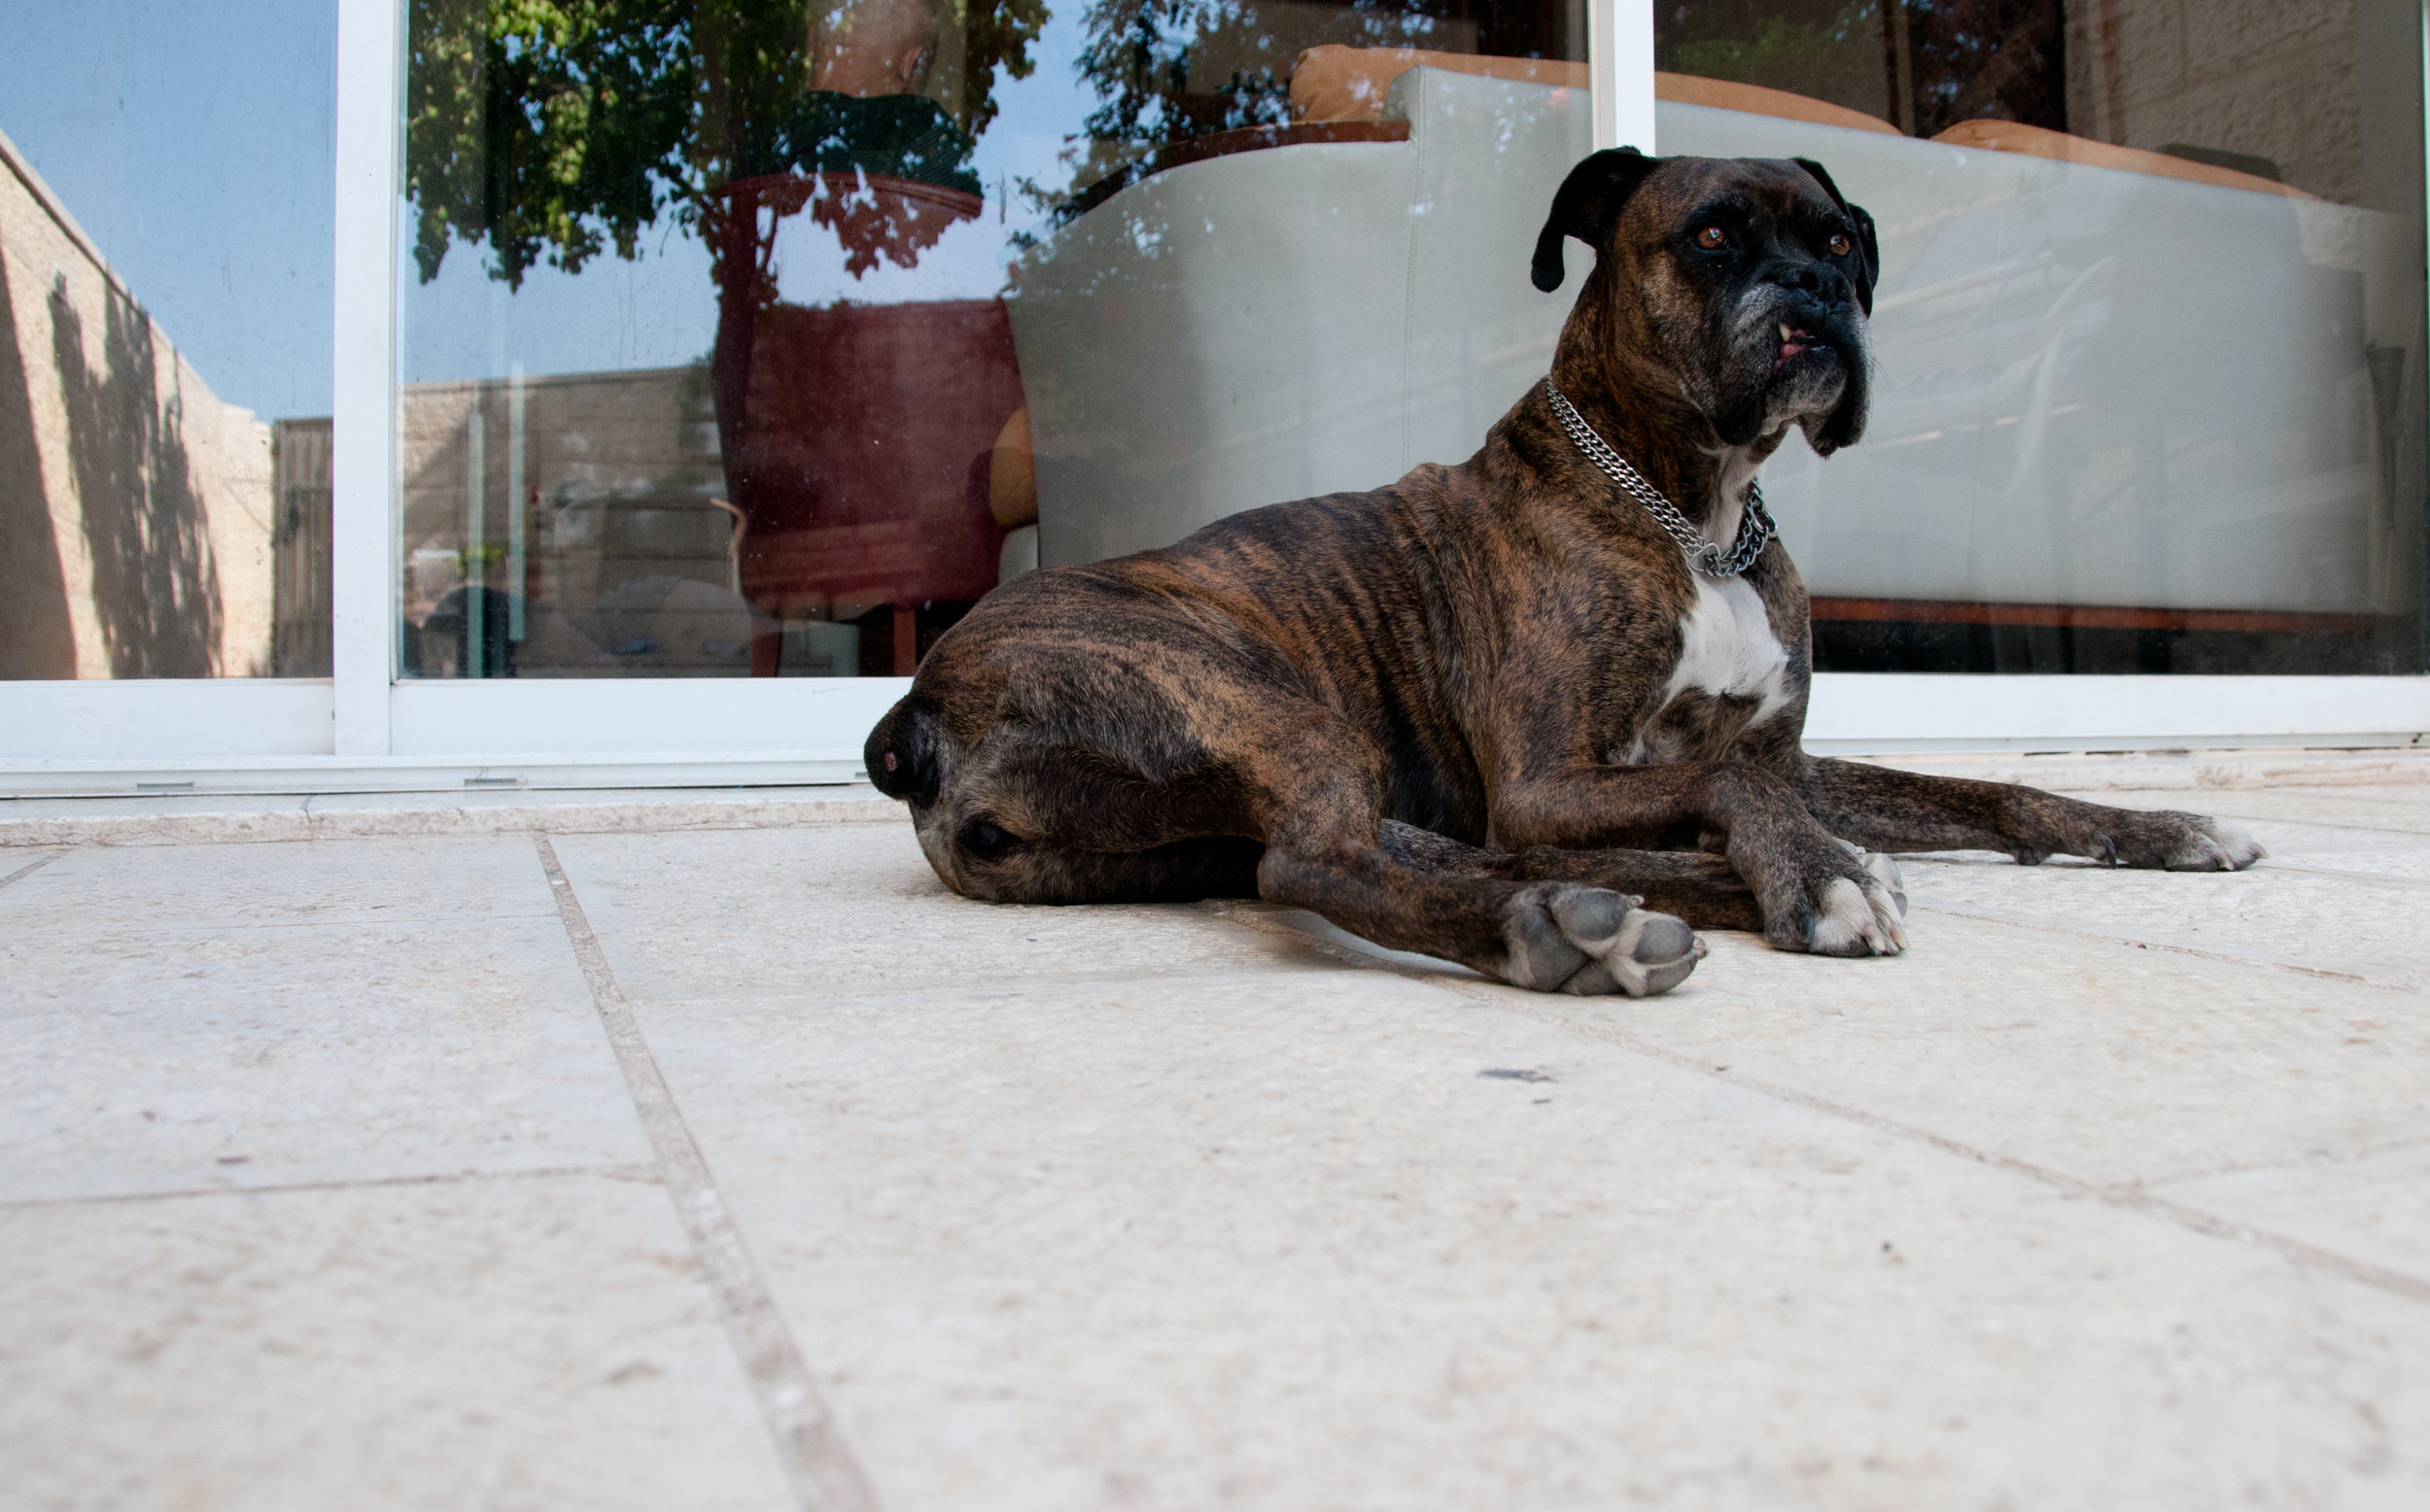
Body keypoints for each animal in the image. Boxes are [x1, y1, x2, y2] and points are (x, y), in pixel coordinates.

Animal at [860, 148, 2255, 1001]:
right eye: (1712, 235)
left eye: (1844, 240)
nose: (1817, 290)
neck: (1698, 516)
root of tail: (915, 711)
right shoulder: (1549, 780)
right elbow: (1729, 781)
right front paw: (1822, 876)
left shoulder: (1778, 755)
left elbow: (1972, 788)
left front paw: (2163, 826)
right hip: (1267, 704)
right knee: (1317, 868)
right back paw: (1572, 933)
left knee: (1414, 855)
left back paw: (1620, 902)